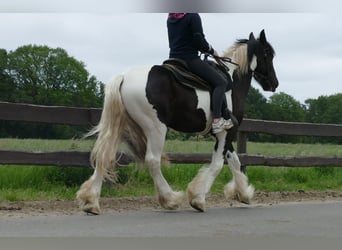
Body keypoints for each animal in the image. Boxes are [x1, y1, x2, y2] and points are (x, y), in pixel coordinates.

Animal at [77, 29, 278, 213]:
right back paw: (170, 199)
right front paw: (198, 198)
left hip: (121, 127)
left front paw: (243, 193)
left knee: (104, 155)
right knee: (152, 160)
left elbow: (234, 161)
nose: (274, 83)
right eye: (268, 54)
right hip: (156, 128)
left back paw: (91, 202)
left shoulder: (224, 134)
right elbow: (217, 165)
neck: (232, 81)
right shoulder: (225, 132)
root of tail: (124, 77)